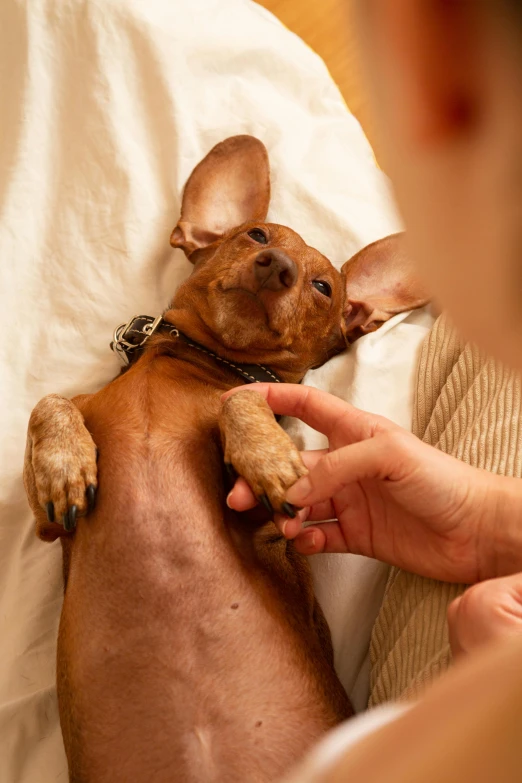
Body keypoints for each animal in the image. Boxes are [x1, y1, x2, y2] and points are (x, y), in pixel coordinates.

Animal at [22, 136, 426, 783]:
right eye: (257, 235)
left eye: (323, 289)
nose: (278, 267)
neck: (195, 364)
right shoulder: (47, 526)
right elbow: (50, 402)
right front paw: (63, 465)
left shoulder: (270, 524)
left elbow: (242, 402)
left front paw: (268, 457)